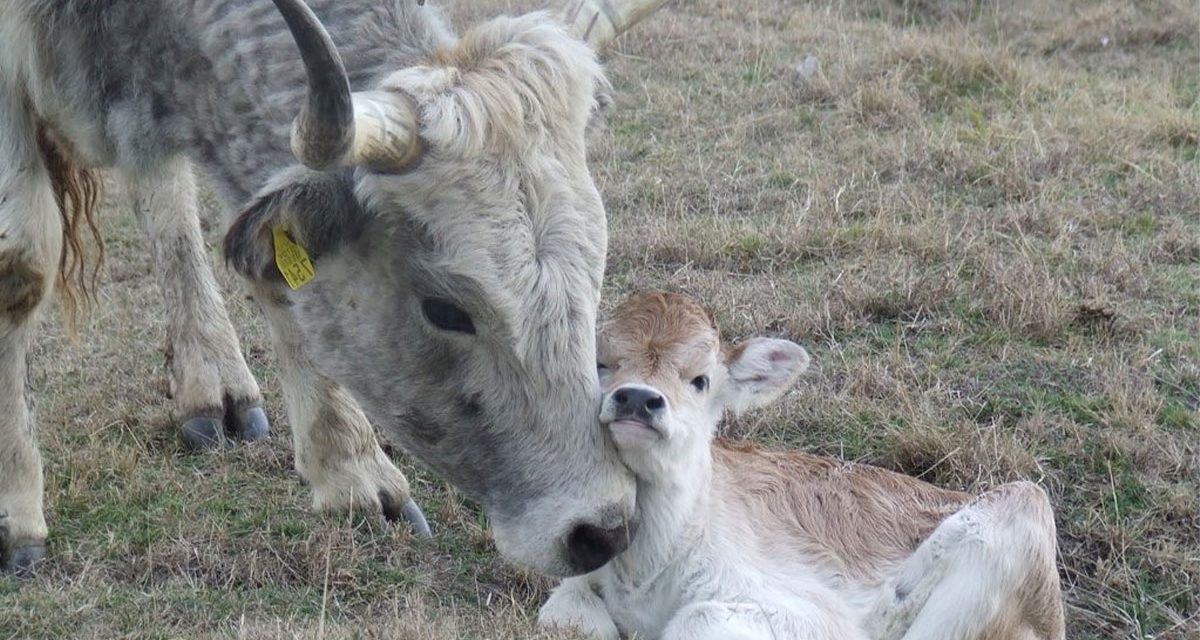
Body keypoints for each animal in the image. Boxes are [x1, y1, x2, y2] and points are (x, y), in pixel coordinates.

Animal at [0, 0, 667, 576]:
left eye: (595, 273)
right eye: (445, 310)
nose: (604, 529)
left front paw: (350, 472)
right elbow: (22, 269)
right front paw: (15, 513)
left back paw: (211, 382)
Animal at [540, 291, 1065, 638]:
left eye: (700, 380)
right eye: (601, 364)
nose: (636, 399)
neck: (647, 571)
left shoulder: (810, 618)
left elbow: (699, 617)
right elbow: (564, 610)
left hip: (1020, 510)